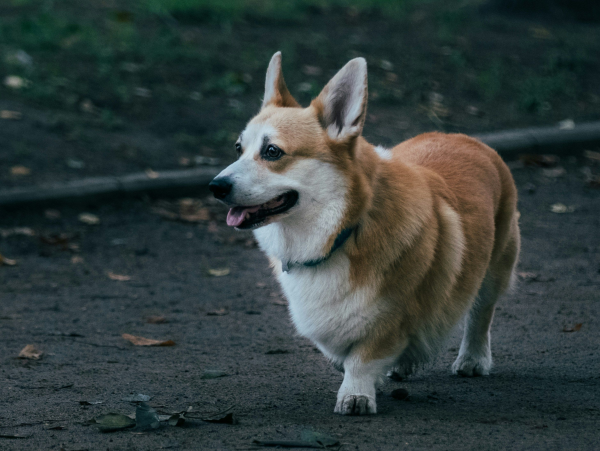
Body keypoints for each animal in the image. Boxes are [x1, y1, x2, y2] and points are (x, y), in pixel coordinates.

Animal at [211, 51, 520, 414]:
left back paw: (473, 358)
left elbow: (362, 358)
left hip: (495, 267)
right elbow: (337, 349)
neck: (341, 233)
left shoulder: (391, 315)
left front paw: (356, 395)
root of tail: (464, 137)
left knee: (481, 313)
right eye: (238, 148)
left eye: (272, 151)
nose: (215, 186)